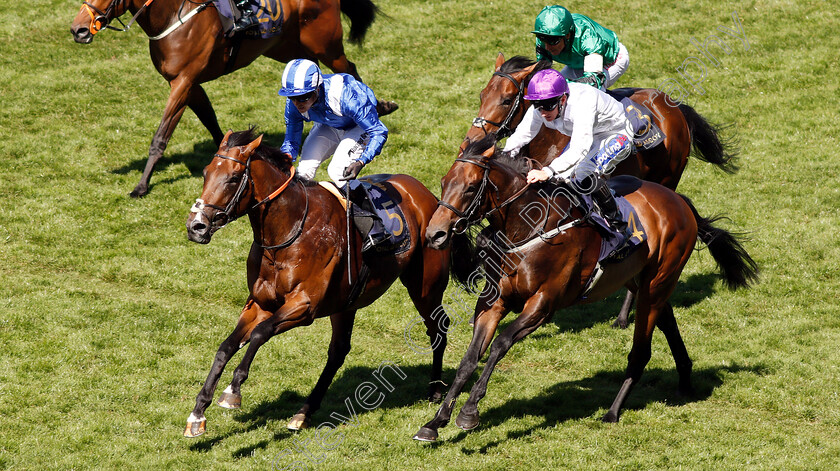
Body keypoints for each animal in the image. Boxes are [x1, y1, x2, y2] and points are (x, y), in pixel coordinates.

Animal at [70, 0, 396, 197]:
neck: (173, 17)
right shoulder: (190, 83)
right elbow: (209, 118)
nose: (78, 30)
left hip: (324, 44)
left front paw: (141, 185)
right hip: (286, 47)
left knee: (348, 69)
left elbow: (160, 136)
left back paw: (379, 107)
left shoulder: (182, 82)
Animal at [182, 129, 466, 438]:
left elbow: (259, 333)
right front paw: (198, 413)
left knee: (437, 327)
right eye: (206, 172)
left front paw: (232, 391)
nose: (196, 226)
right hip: (347, 303)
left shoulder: (304, 306)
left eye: (234, 178)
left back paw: (435, 390)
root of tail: (428, 195)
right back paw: (304, 412)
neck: (288, 232)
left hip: (425, 287)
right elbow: (226, 347)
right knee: (339, 350)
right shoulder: (259, 302)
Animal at [410, 136, 756, 442]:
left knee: (641, 350)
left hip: (657, 283)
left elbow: (500, 344)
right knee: (668, 323)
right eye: (443, 182)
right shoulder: (492, 302)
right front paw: (434, 422)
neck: (527, 228)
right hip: (643, 281)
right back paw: (684, 380)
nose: (435, 235)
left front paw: (469, 412)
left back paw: (613, 411)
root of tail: (679, 201)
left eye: (471, 187)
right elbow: (470, 358)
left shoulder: (543, 305)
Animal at [466, 53, 736, 328]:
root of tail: (675, 106)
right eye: (482, 95)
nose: (472, 140)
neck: (549, 138)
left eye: (507, 99)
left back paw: (622, 316)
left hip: (662, 176)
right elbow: (486, 236)